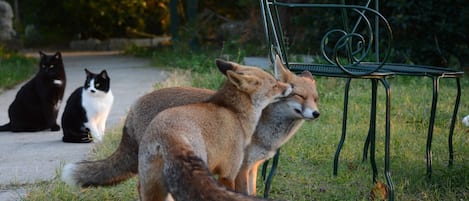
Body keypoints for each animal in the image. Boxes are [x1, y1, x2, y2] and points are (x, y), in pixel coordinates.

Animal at [62, 55, 318, 198]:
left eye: (316, 98)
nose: (316, 113)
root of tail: (133, 107)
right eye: (297, 94)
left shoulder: (252, 168)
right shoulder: (236, 170)